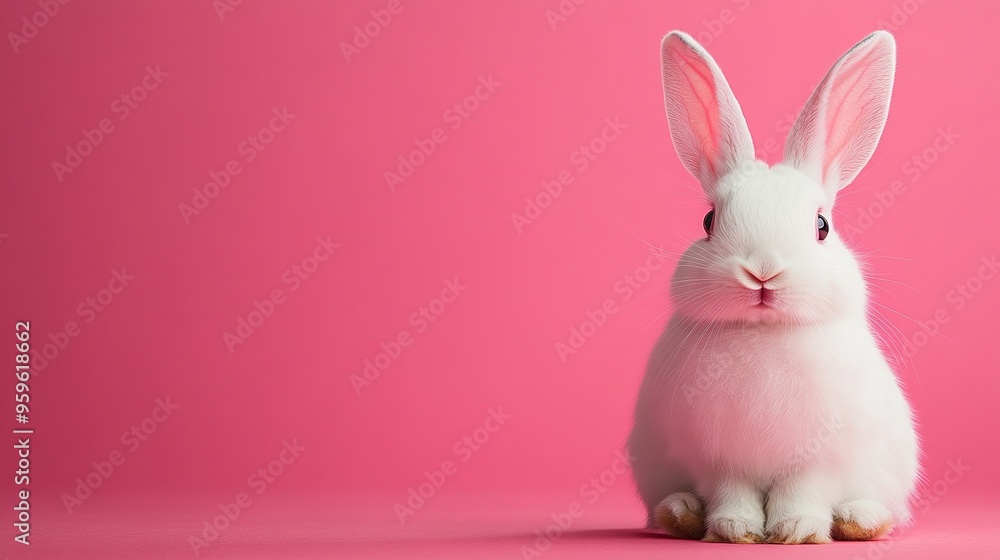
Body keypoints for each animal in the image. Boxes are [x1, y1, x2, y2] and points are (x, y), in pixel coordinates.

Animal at [628, 30, 919, 544]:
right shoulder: (717, 459)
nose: (762, 273)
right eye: (708, 221)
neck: (764, 333)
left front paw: (795, 531)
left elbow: (803, 491)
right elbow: (732, 491)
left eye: (822, 225)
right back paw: (681, 513)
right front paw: (735, 529)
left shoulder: (820, 457)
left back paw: (860, 518)